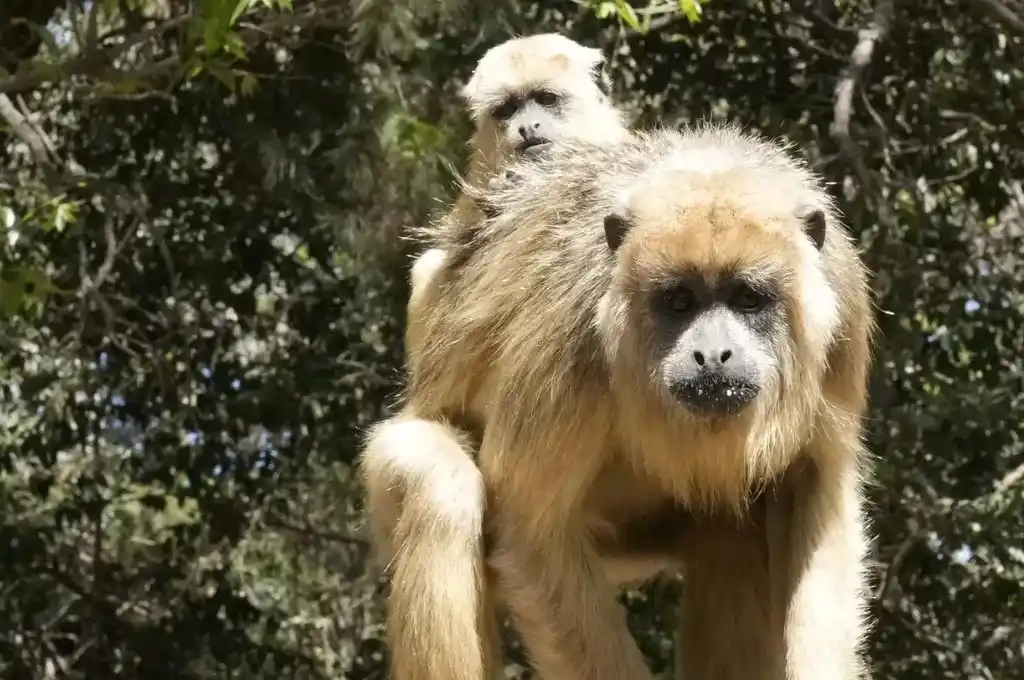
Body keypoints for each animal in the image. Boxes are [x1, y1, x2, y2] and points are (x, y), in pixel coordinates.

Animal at [365, 122, 875, 680]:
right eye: (678, 301)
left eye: (748, 299)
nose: (712, 356)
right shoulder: (568, 334)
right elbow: (532, 536)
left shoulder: (843, 313)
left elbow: (821, 493)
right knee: (437, 482)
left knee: (730, 524)